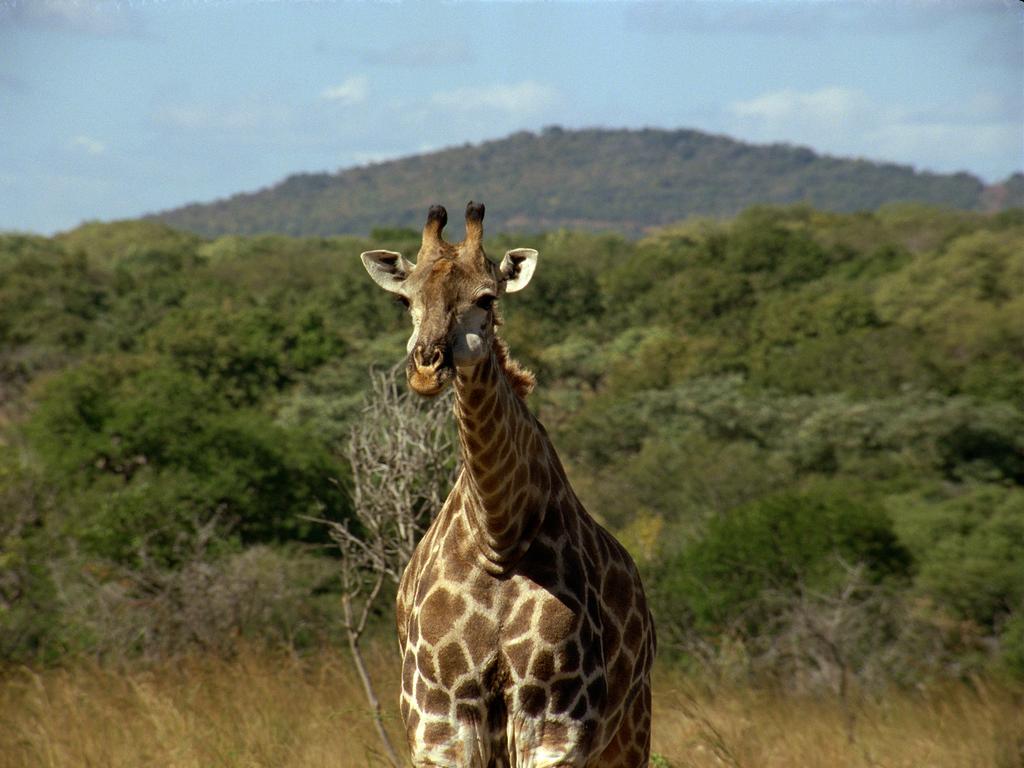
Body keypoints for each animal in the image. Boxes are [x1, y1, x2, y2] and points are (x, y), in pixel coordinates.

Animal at [362, 201, 655, 765]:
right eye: (406, 298)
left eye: (487, 297)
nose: (426, 367)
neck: (497, 536)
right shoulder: (439, 718)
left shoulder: (558, 719)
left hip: (630, 732)